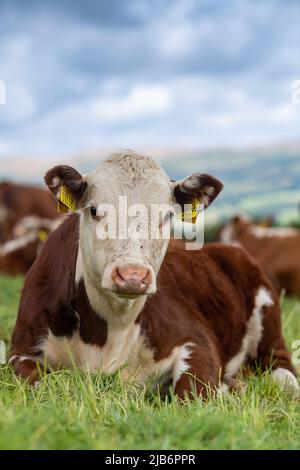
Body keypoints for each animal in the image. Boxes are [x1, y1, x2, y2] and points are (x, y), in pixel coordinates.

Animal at [9, 152, 298, 398]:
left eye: (167, 216)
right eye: (93, 210)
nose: (132, 276)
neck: (110, 330)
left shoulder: (196, 339)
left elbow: (193, 393)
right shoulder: (20, 350)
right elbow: (37, 384)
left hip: (270, 324)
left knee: (282, 369)